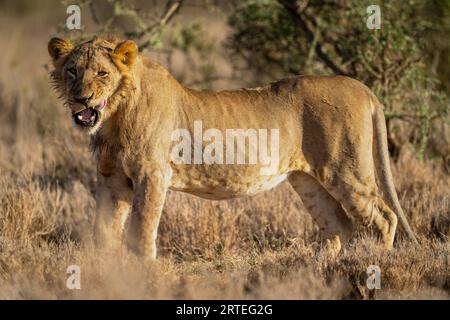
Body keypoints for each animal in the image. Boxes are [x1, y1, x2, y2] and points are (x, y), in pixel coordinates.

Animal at [47, 36, 416, 260]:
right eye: (72, 71)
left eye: (102, 73)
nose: (81, 98)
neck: (113, 118)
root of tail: (362, 87)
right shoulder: (112, 179)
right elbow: (104, 229)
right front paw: (105, 271)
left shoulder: (152, 175)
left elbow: (142, 228)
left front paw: (142, 271)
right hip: (308, 181)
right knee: (338, 226)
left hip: (345, 169)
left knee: (384, 217)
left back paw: (374, 267)